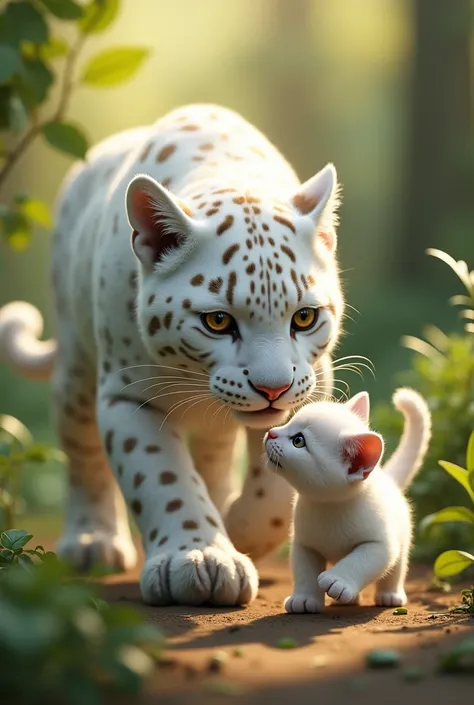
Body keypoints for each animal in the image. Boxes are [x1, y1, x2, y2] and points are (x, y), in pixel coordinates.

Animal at [264, 388, 432, 612]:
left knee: (396, 570)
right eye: (288, 423)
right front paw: (304, 598)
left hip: (402, 540)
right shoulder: (304, 544)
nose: (271, 432)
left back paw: (389, 595)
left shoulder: (380, 544)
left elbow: (360, 561)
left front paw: (337, 580)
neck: (329, 506)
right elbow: (304, 572)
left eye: (298, 441)